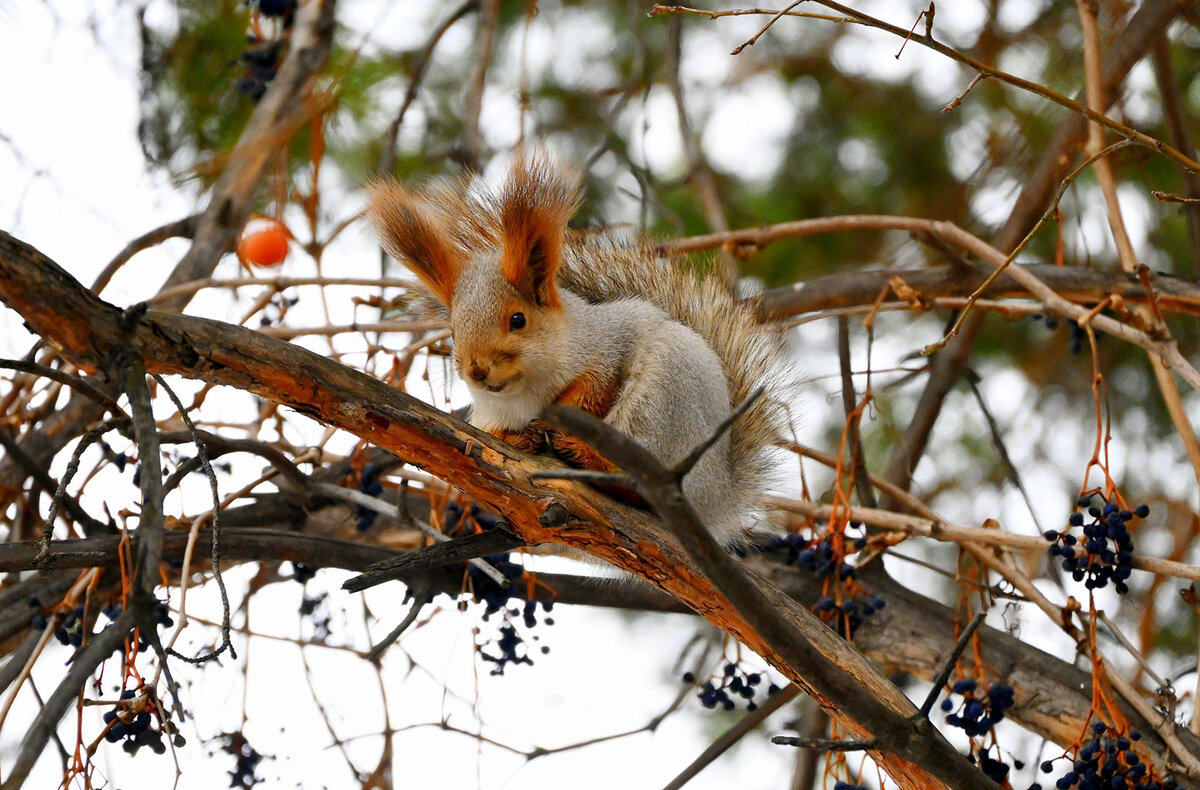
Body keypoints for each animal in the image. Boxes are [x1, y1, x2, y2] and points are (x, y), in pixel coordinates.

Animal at [360, 152, 782, 542]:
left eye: (518, 320)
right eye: (452, 328)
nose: (477, 371)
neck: (526, 393)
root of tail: (717, 500)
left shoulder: (608, 349)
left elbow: (593, 389)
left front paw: (556, 421)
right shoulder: (487, 419)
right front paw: (518, 438)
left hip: (661, 403)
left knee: (639, 483)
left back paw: (584, 456)